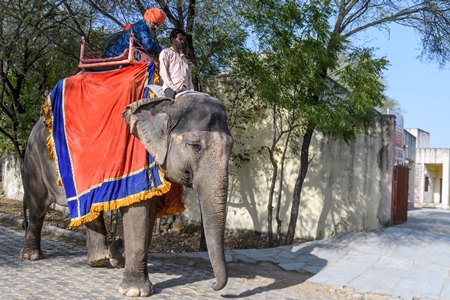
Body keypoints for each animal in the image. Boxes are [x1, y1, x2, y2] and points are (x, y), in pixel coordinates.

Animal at [19, 92, 234, 296]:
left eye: (231, 146)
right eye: (195, 146)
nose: (214, 286)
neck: (166, 102)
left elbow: (149, 212)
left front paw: (117, 256)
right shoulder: (135, 159)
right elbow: (137, 211)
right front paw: (135, 290)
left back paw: (98, 260)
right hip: (33, 160)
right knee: (38, 207)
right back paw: (31, 256)